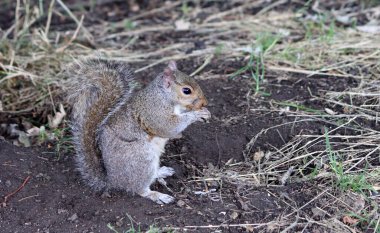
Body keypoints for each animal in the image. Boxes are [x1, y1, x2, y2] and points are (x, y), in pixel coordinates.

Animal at [67, 57, 211, 204]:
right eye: (186, 90)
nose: (205, 102)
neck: (163, 96)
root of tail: (113, 180)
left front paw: (204, 113)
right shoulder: (155, 112)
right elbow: (168, 127)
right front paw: (196, 115)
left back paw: (162, 172)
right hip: (141, 159)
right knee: (140, 189)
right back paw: (158, 196)